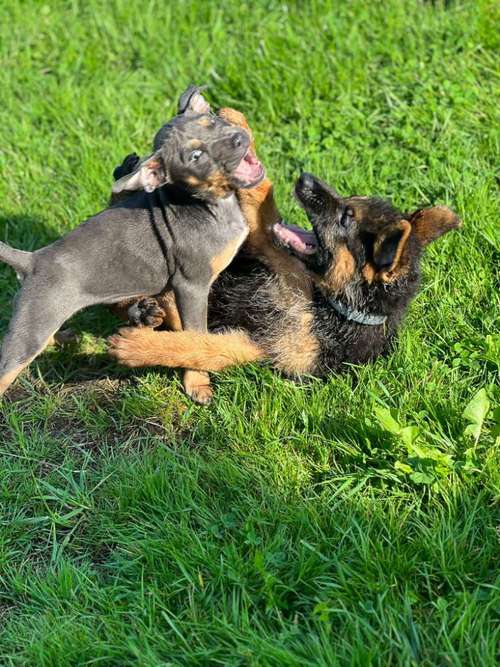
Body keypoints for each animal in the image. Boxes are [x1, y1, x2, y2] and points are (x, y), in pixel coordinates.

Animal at [0, 85, 266, 400]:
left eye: (212, 121)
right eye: (195, 156)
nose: (239, 139)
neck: (208, 203)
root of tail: (30, 261)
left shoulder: (175, 289)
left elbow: (181, 324)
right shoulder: (191, 285)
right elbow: (195, 331)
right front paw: (197, 381)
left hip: (41, 319)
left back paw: (65, 337)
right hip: (31, 327)